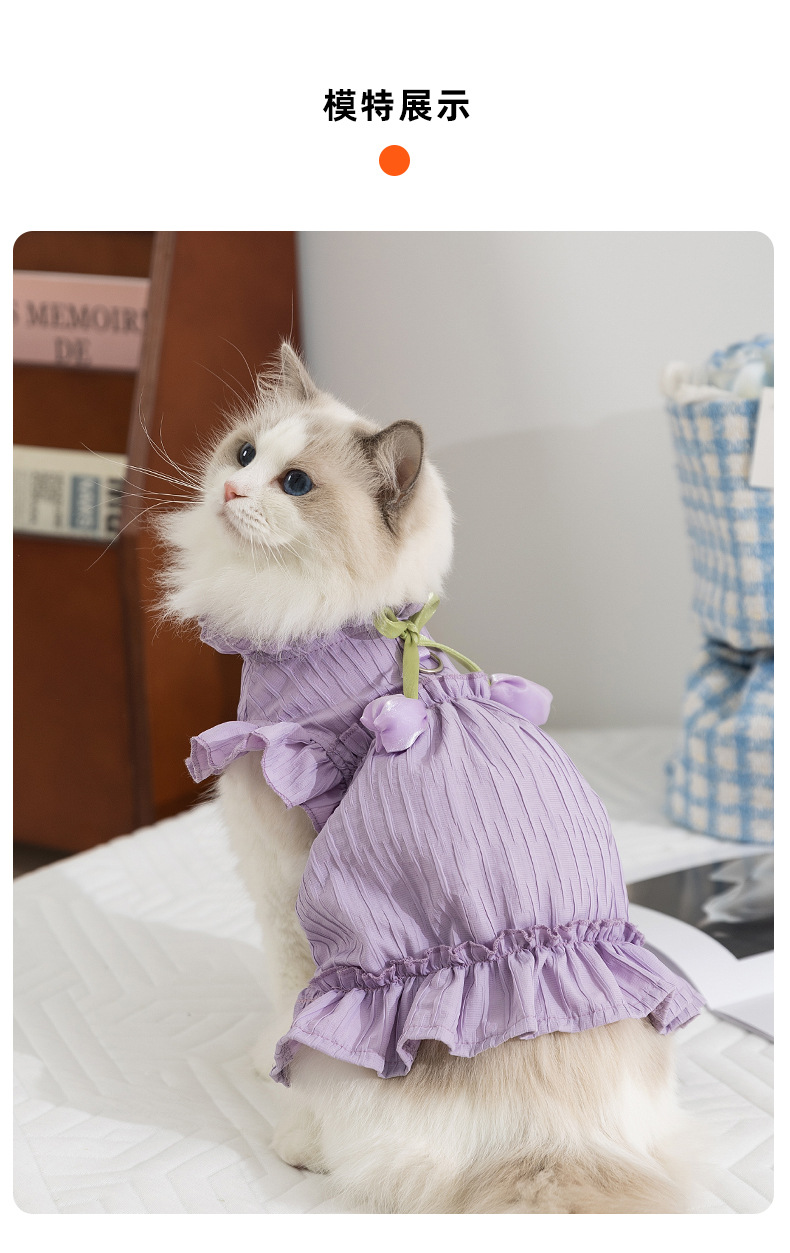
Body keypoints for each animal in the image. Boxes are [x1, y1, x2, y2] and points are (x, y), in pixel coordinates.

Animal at [158, 342, 702, 1213]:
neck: (339, 626)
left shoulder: (279, 887)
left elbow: (279, 1000)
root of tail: (553, 1141)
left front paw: (262, 1065)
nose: (232, 490)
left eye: (295, 484)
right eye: (243, 455)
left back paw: (296, 1139)